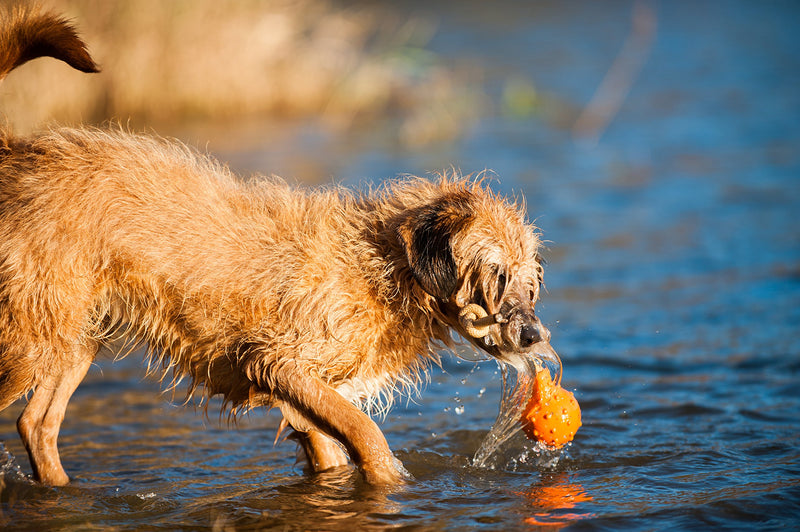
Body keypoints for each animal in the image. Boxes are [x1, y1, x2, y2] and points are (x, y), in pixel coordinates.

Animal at [0, 6, 556, 486]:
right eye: (495, 275)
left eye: (529, 283)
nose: (533, 335)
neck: (383, 267)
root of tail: (16, 155)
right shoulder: (279, 363)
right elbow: (364, 431)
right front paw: (391, 479)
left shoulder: (312, 395)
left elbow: (332, 445)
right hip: (31, 341)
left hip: (70, 338)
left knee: (37, 424)